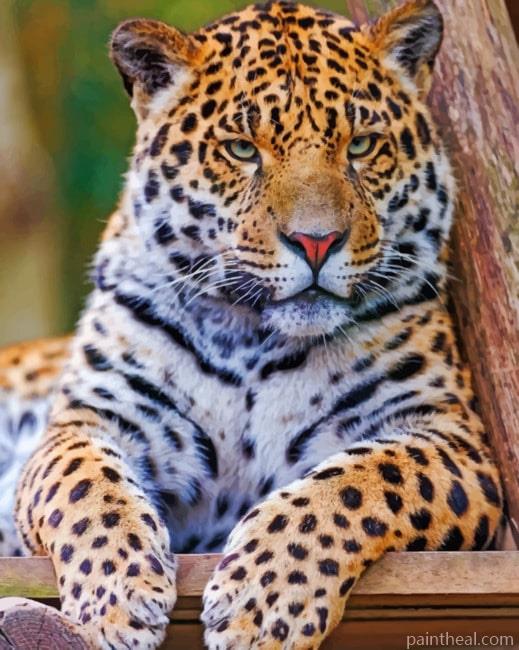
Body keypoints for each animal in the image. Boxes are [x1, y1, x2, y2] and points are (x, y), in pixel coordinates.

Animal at [0, 1, 504, 648]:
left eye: (363, 145)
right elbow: (84, 485)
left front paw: (264, 605)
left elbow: (355, 481)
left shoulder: (452, 437)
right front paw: (116, 602)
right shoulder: (90, 420)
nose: (316, 242)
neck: (252, 338)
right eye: (242, 150)